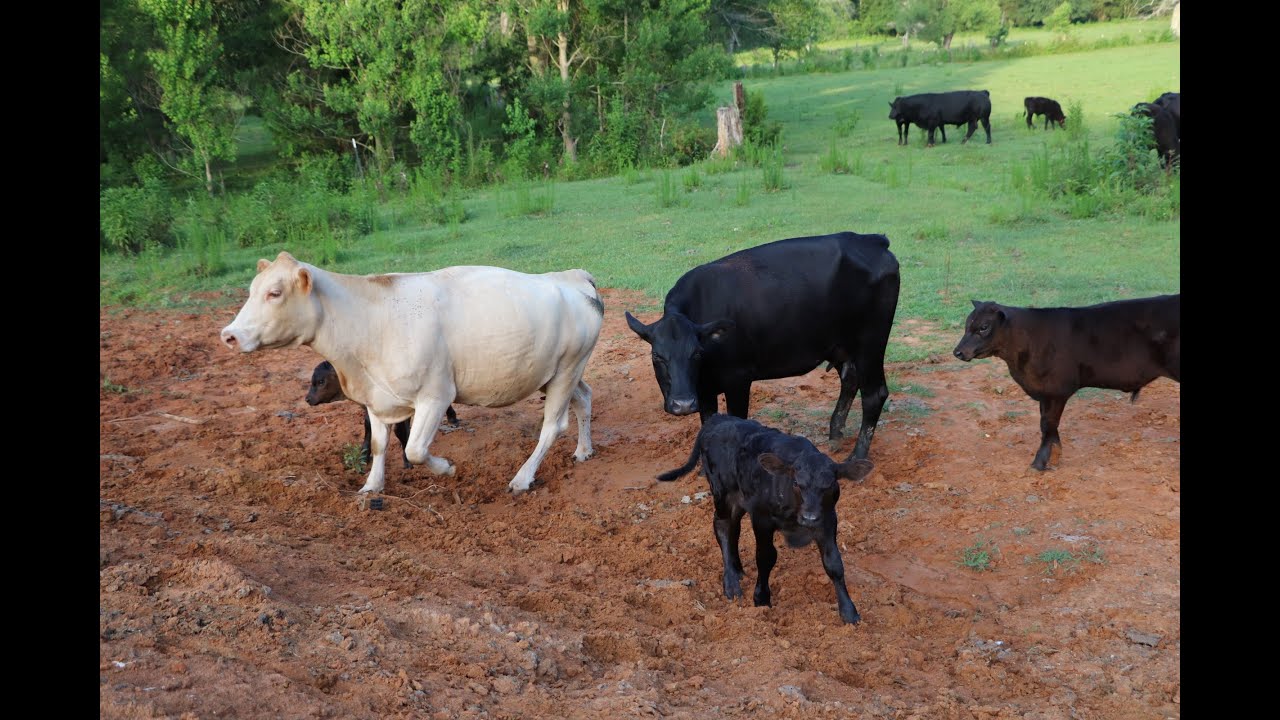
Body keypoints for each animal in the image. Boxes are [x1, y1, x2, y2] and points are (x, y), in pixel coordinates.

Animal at [305, 360, 459, 470]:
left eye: (321, 381)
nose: (307, 399)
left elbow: (400, 431)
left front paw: (407, 461)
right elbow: (369, 428)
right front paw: (363, 456)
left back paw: (452, 417)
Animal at [624, 231, 900, 463]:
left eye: (697, 353)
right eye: (657, 356)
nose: (682, 404)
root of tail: (872, 239)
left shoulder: (738, 378)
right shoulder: (703, 390)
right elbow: (707, 424)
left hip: (871, 342)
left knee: (874, 394)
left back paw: (858, 457)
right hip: (843, 345)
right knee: (850, 380)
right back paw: (835, 436)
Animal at [658, 414, 875, 624]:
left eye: (829, 485)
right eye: (796, 483)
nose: (809, 517)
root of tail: (718, 418)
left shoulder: (828, 520)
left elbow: (834, 564)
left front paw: (849, 612)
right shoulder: (761, 518)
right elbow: (766, 557)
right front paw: (761, 598)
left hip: (740, 499)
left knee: (734, 528)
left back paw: (737, 570)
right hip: (721, 492)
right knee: (722, 526)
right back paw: (731, 583)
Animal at [952, 295, 1180, 471]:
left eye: (983, 327)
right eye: (966, 325)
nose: (958, 352)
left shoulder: (1056, 391)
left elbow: (1048, 424)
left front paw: (1040, 463)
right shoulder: (1045, 393)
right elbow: (1046, 425)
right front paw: (1053, 457)